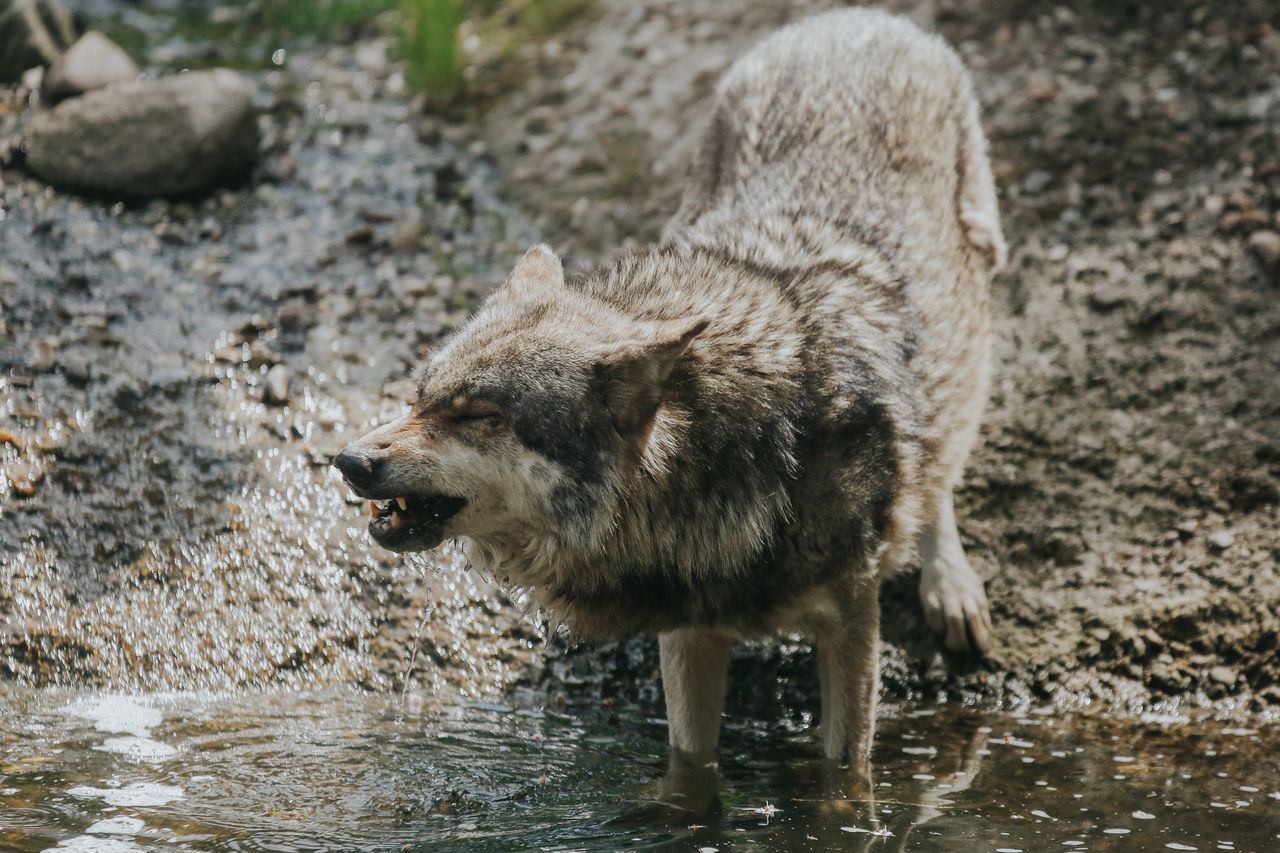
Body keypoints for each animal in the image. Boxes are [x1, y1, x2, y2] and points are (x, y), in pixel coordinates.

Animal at [335, 6, 1003, 768]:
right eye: (417, 398)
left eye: (477, 414)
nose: (350, 461)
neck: (753, 448)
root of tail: (854, 19)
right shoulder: (689, 630)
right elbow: (690, 763)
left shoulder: (851, 623)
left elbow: (844, 769)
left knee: (943, 451)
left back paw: (950, 586)